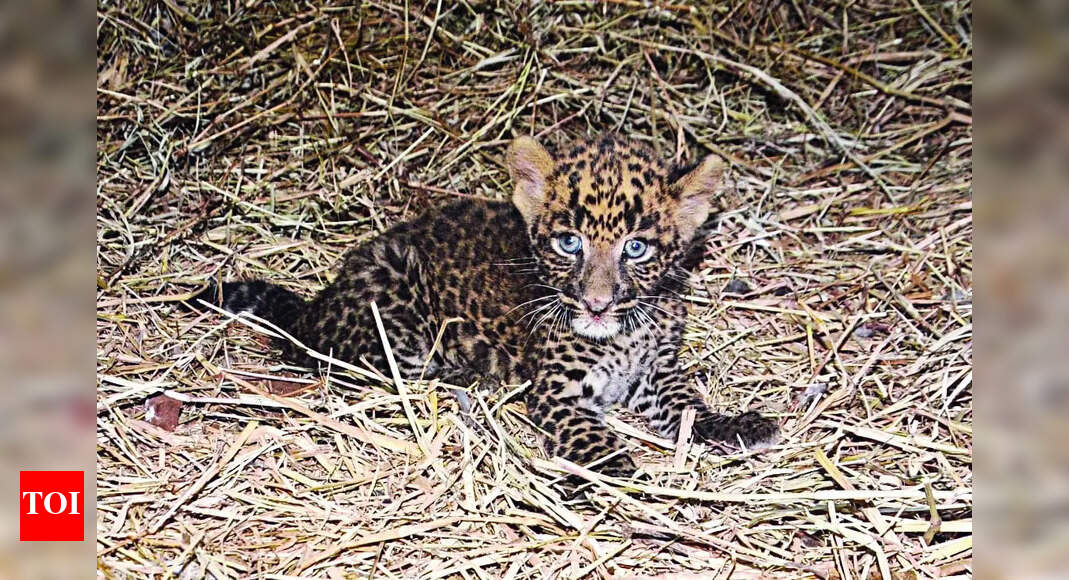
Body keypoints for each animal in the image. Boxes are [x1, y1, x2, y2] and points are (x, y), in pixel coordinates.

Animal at [197, 133, 779, 477]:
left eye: (636, 248)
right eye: (569, 243)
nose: (595, 304)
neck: (624, 336)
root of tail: (319, 305)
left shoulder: (655, 374)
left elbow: (687, 406)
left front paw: (734, 425)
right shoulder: (558, 394)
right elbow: (595, 438)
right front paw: (627, 473)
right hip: (391, 297)